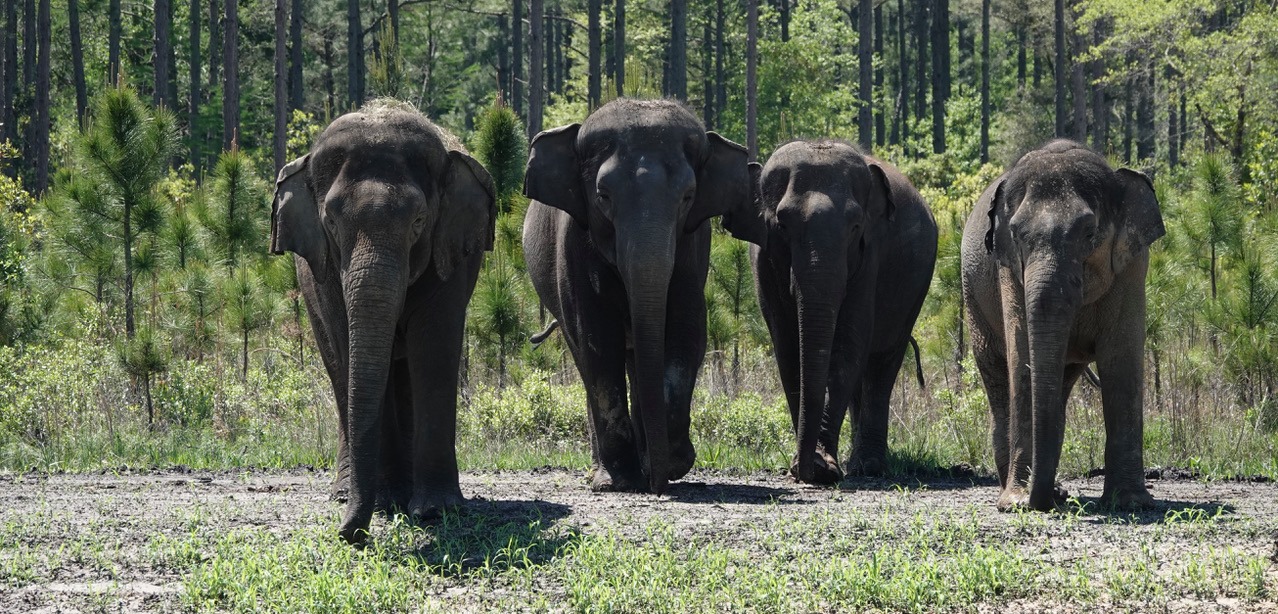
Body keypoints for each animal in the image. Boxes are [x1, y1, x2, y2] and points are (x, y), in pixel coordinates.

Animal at [272, 101, 495, 542]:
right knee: (339, 371)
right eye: (331, 222)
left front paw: (436, 510)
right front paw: (386, 504)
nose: (349, 535)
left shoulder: (449, 254)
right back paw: (349, 493)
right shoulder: (325, 271)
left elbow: (434, 349)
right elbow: (352, 346)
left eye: (419, 221)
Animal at [518, 99, 756, 493]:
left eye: (688, 197)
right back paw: (602, 472)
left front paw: (673, 462)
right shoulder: (574, 245)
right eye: (603, 196)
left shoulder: (693, 248)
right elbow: (597, 341)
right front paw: (620, 480)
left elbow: (687, 333)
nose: (657, 485)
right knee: (586, 358)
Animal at [731, 139, 940, 483]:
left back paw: (868, 467)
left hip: (914, 290)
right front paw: (812, 465)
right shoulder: (762, 261)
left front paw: (822, 468)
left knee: (882, 364)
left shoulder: (870, 255)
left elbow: (848, 344)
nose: (802, 472)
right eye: (782, 224)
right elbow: (788, 349)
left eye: (855, 227)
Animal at [961, 140, 1170, 514]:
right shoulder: (1007, 268)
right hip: (972, 298)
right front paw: (1017, 504)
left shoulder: (1133, 266)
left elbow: (1121, 361)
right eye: (1016, 234)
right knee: (997, 377)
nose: (1042, 503)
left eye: (1089, 233)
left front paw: (1131, 503)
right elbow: (1021, 358)